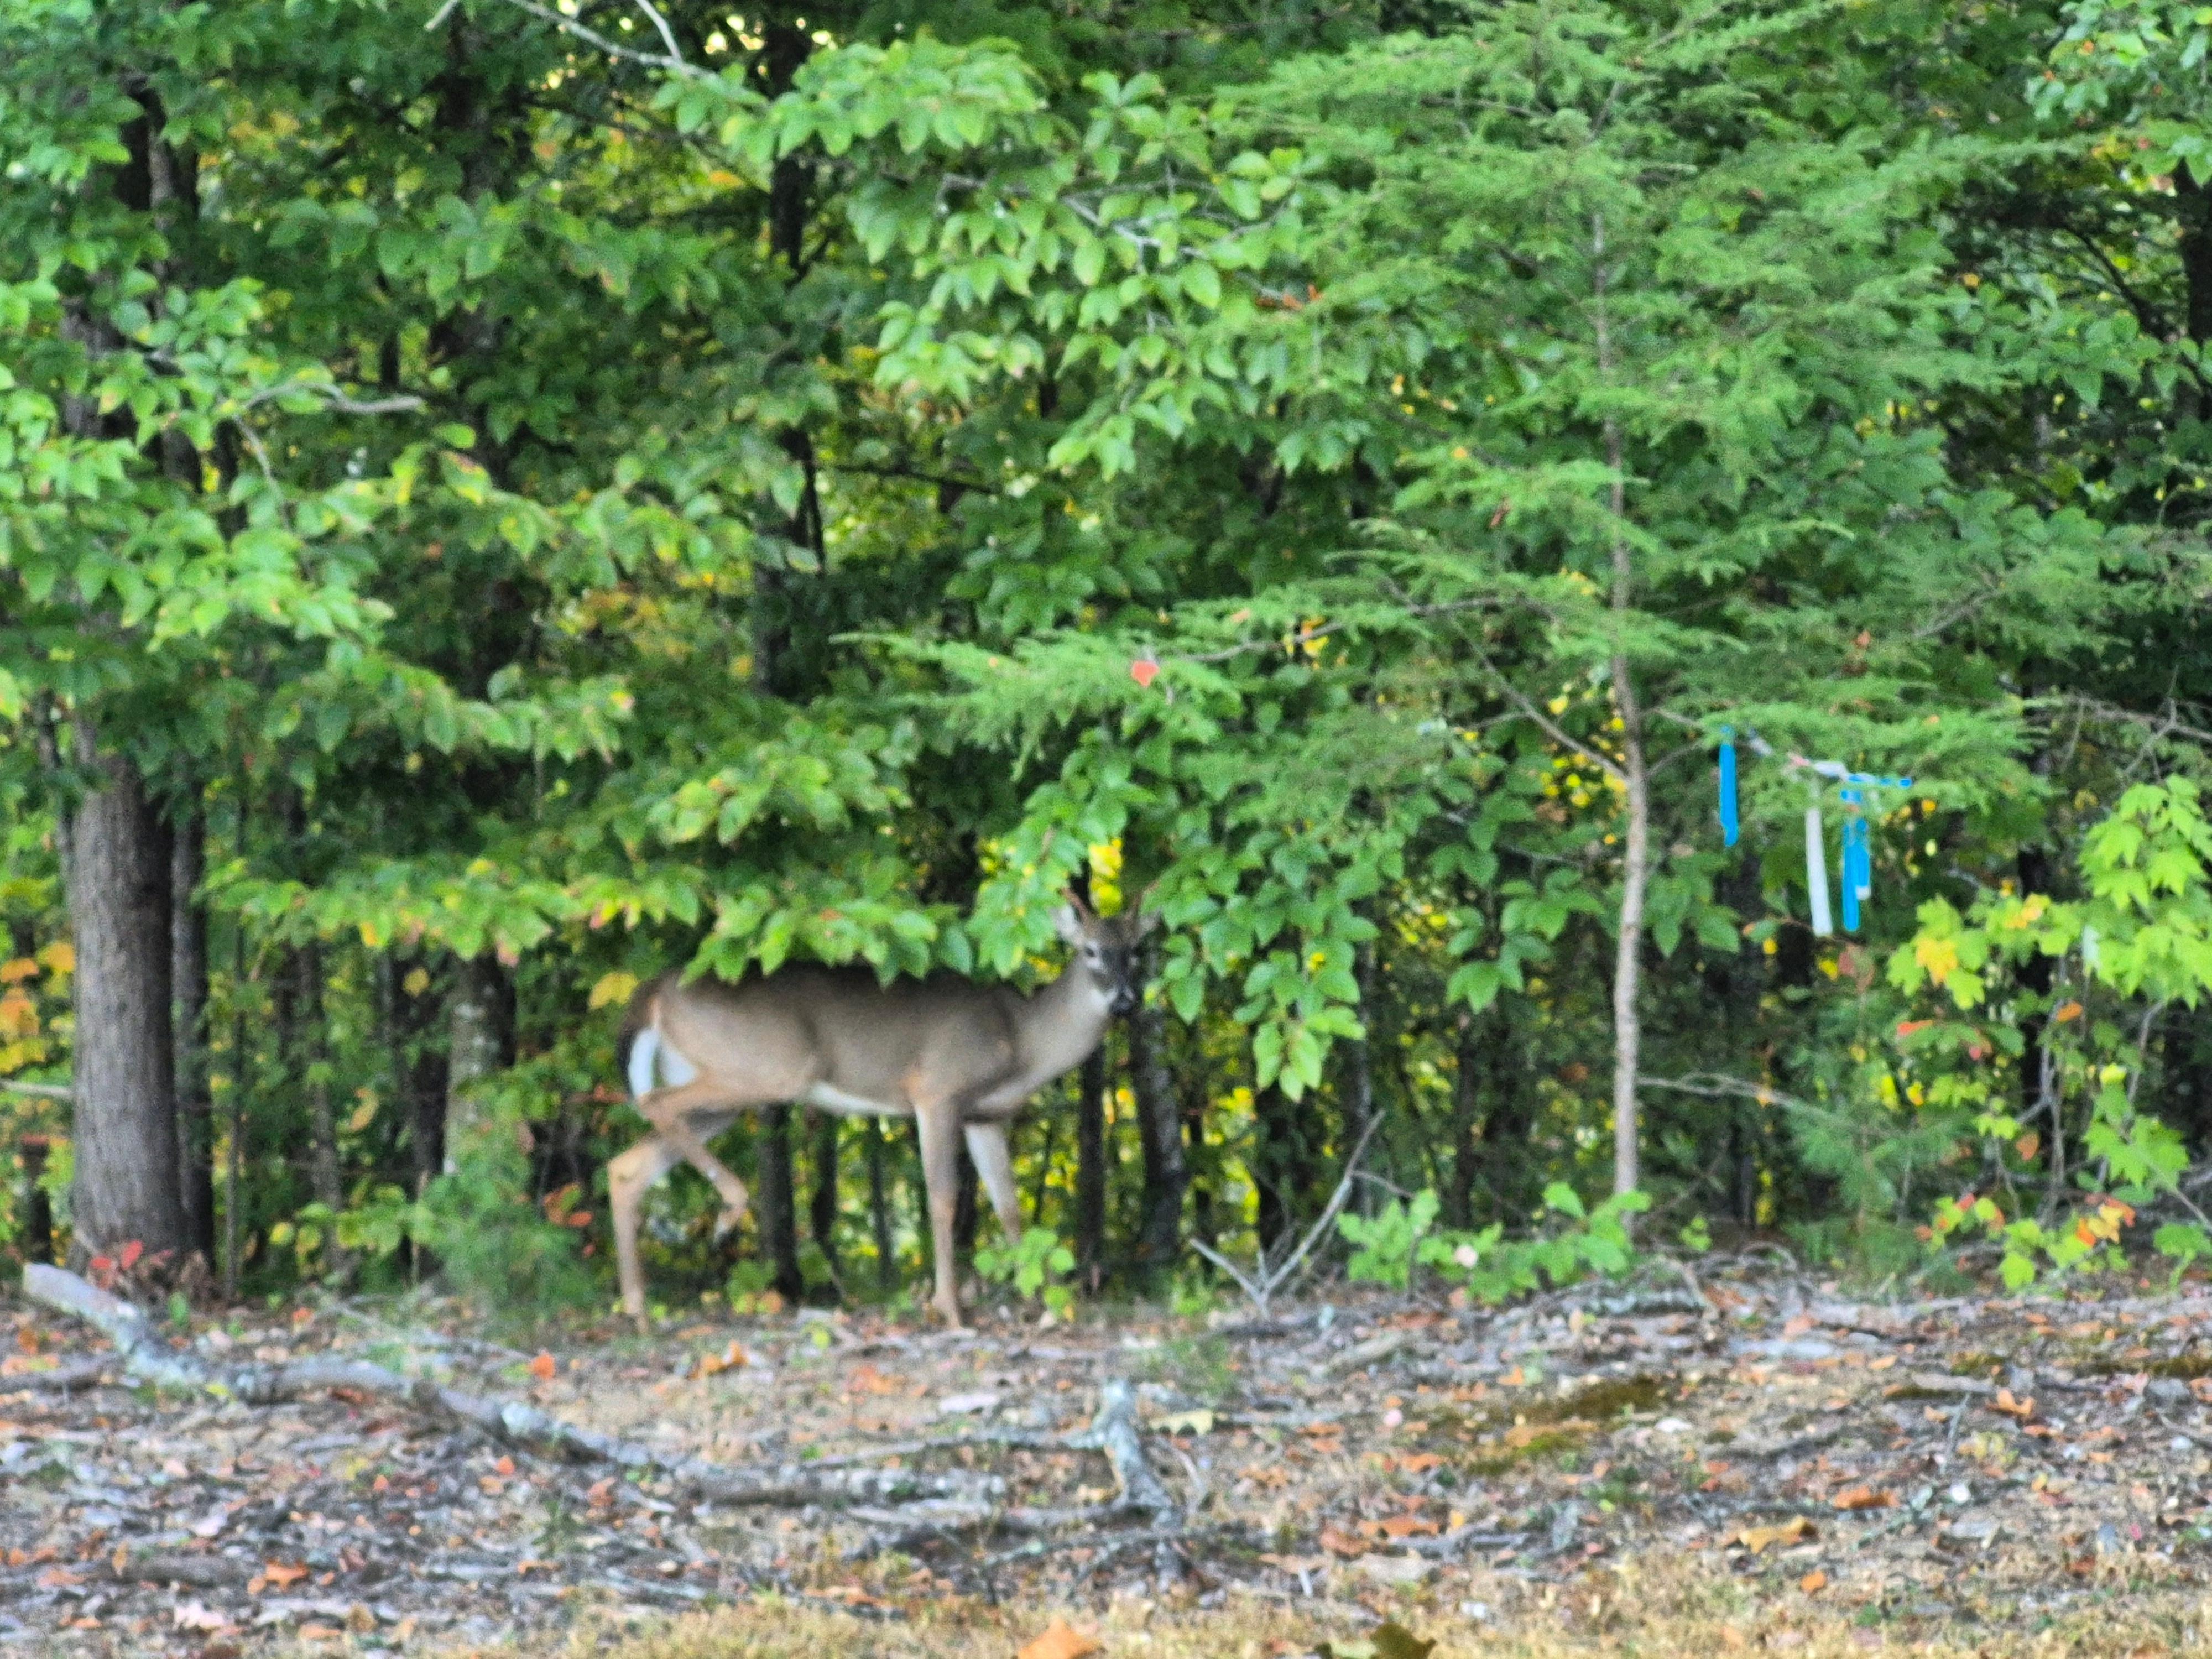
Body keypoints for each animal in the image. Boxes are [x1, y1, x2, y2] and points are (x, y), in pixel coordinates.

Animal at [608, 893, 1152, 1328]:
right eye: (1090, 950)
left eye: (1137, 952)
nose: (1125, 1002)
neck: (1022, 1039)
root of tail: (654, 992)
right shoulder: (936, 1090)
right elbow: (943, 1198)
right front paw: (951, 1309)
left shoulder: (987, 1116)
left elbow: (1009, 1206)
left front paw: (1040, 1303)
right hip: (765, 1071)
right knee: (651, 1104)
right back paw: (727, 1212)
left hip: (717, 1084)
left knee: (628, 1165)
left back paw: (638, 1308)